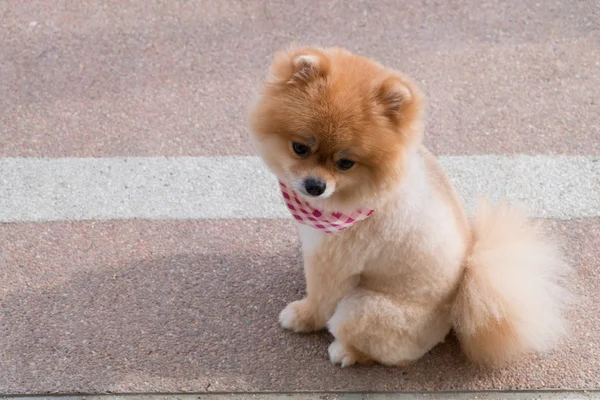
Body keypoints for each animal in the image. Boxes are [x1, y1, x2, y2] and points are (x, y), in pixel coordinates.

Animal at [247, 45, 572, 368]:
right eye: (300, 148)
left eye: (346, 163)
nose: (315, 185)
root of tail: (458, 307)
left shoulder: (334, 262)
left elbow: (320, 299)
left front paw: (302, 317)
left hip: (361, 308)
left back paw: (346, 352)